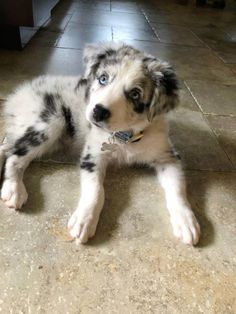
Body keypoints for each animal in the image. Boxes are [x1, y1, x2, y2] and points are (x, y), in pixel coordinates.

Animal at [0, 41, 201, 244]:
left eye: (135, 94)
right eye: (103, 79)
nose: (98, 112)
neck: (126, 136)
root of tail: (19, 93)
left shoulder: (167, 156)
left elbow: (177, 189)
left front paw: (186, 221)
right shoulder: (93, 155)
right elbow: (96, 190)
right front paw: (84, 220)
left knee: (8, 146)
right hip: (50, 122)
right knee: (15, 157)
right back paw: (14, 189)